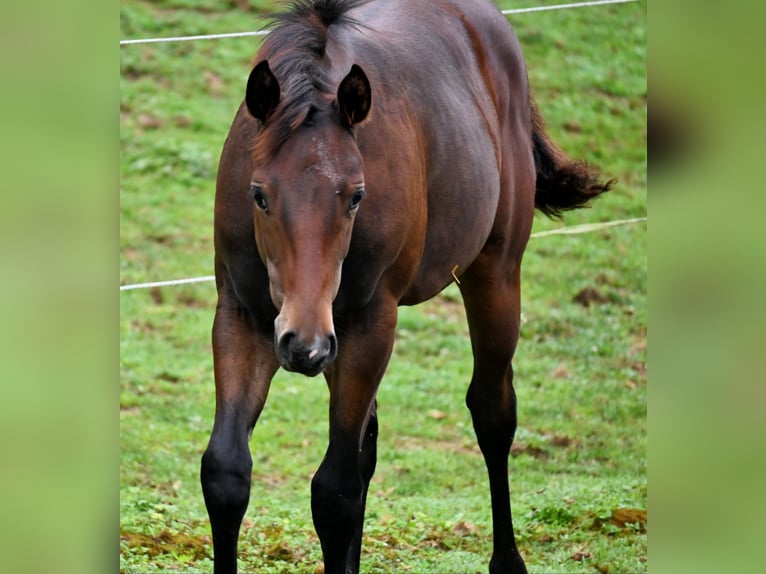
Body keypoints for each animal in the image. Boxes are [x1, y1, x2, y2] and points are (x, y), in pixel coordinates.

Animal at [202, 0, 612, 572]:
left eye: (356, 195)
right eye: (258, 194)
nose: (303, 345)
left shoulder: (371, 323)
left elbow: (334, 491)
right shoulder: (242, 317)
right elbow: (227, 473)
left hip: (494, 274)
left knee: (492, 412)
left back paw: (507, 560)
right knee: (368, 447)